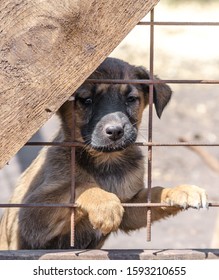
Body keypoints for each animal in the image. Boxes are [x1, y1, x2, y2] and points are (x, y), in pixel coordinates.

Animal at [0, 57, 208, 249]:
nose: (115, 131)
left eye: (131, 99)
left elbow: (154, 193)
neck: (106, 163)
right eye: (87, 100)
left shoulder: (131, 208)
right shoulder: (31, 217)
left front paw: (180, 190)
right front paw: (105, 203)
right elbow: (81, 185)